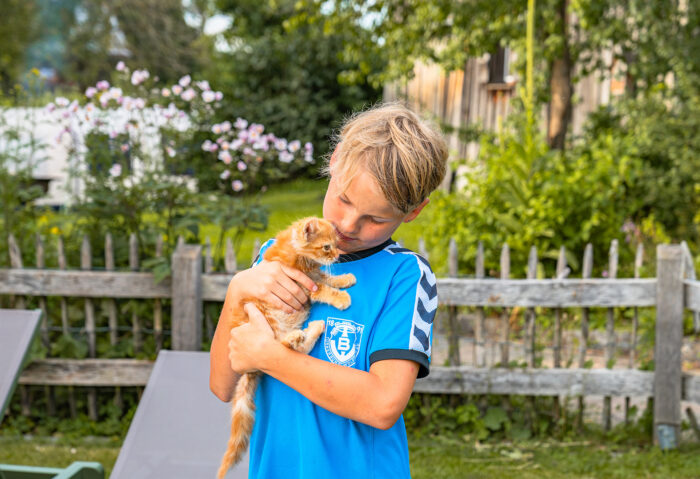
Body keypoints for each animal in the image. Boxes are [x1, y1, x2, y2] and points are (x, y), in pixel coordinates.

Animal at [217, 218, 356, 479]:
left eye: (336, 244)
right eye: (326, 247)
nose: (337, 255)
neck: (299, 254)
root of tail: (250, 371)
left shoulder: (312, 274)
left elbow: (325, 277)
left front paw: (344, 279)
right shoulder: (303, 283)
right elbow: (322, 288)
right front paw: (341, 297)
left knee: (297, 351)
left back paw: (310, 330)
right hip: (266, 322)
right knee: (276, 347)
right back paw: (293, 338)